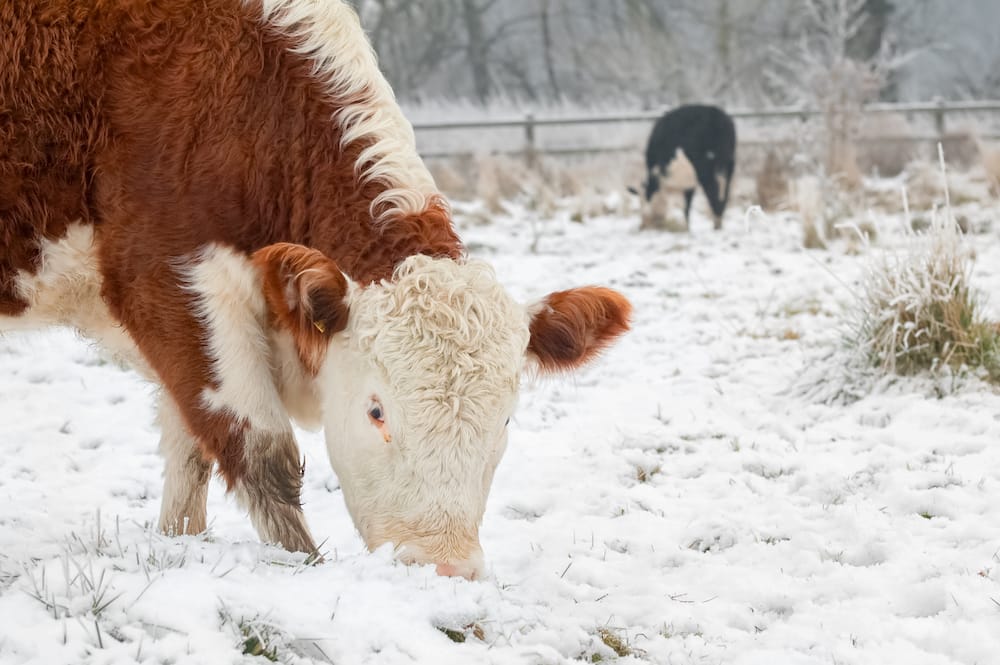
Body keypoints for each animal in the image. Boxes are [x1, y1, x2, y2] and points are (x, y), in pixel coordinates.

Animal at [0, 0, 632, 580]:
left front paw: (178, 544)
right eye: (376, 410)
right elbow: (261, 453)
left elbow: (189, 451)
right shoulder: (170, 283)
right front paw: (303, 566)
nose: (444, 566)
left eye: (504, 420)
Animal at [632, 102, 736, 230]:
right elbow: (687, 205)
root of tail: (717, 114)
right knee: (725, 193)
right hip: (729, 164)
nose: (643, 224)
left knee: (713, 193)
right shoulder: (688, 182)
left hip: (705, 168)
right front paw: (687, 228)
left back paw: (716, 225)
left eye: (644, 199)